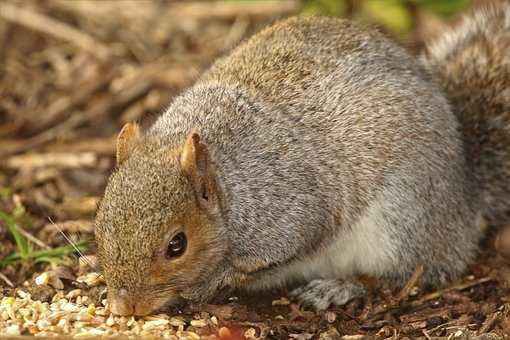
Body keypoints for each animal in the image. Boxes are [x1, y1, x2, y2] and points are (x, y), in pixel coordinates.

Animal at [93, 3, 510, 316]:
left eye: (176, 245)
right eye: (99, 226)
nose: (124, 308)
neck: (229, 180)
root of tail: (466, 193)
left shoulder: (291, 208)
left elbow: (287, 248)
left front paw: (212, 281)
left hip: (402, 223)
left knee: (405, 274)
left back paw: (338, 287)